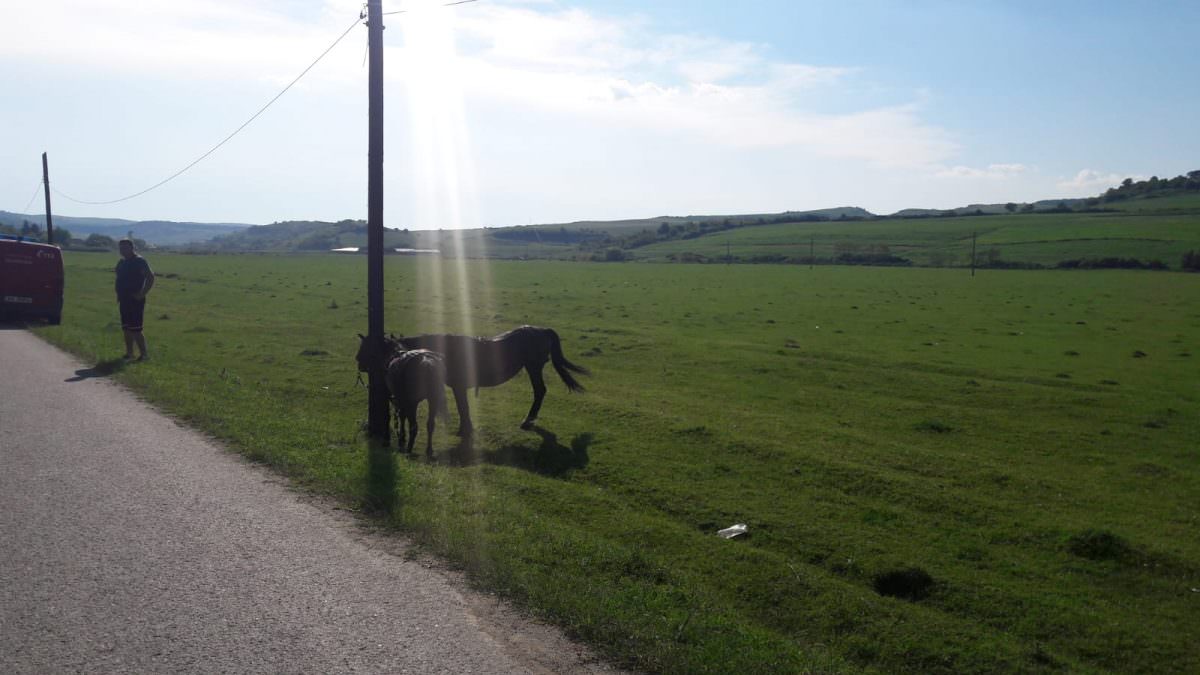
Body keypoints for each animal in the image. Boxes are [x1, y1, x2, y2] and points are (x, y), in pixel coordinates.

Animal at [398, 324, 590, 429]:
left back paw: (528, 420)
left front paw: (465, 430)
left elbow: (463, 408)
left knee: (540, 391)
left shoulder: (459, 387)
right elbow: (463, 407)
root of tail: (542, 330)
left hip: (533, 367)